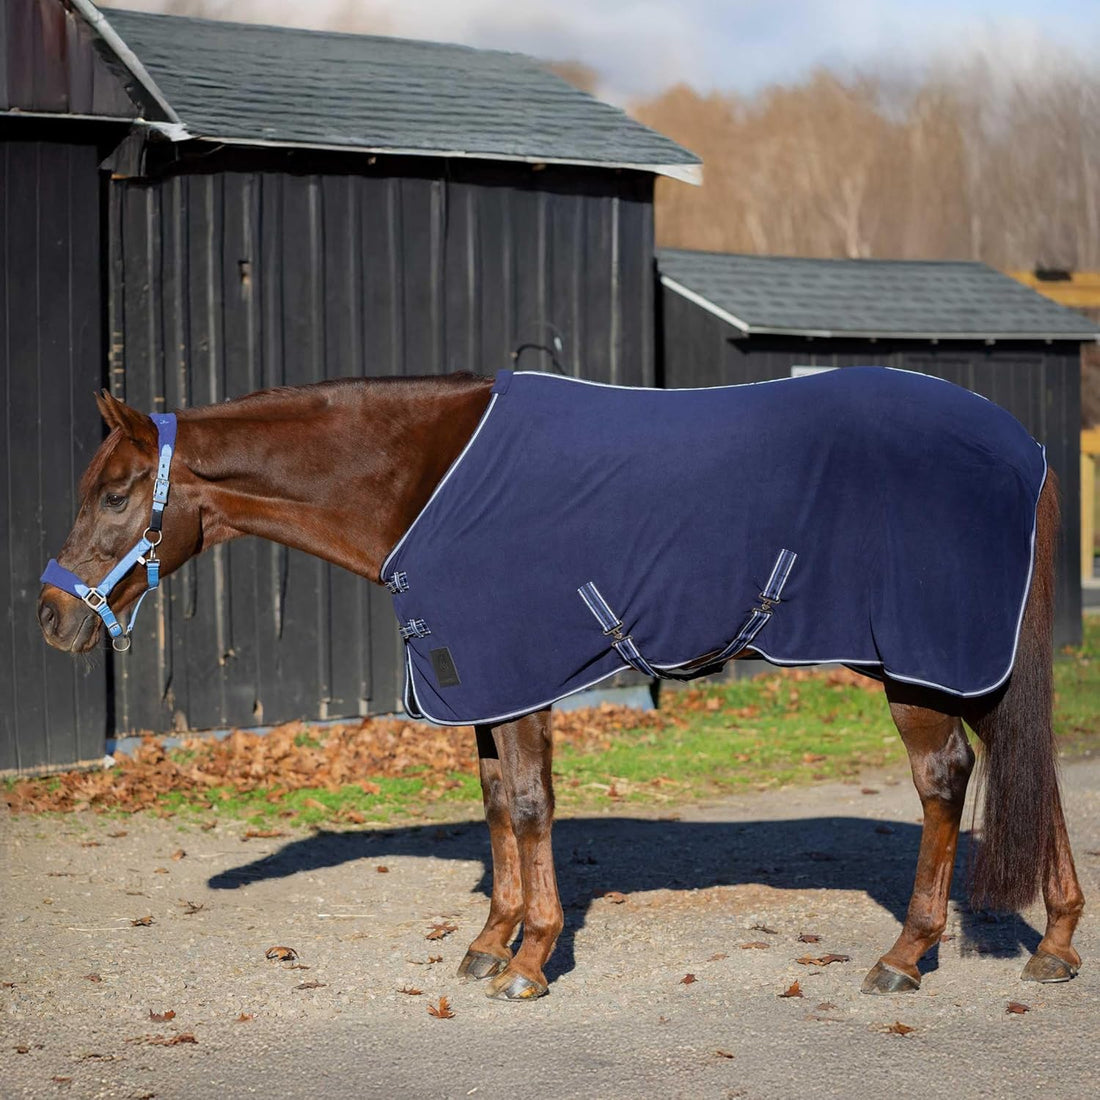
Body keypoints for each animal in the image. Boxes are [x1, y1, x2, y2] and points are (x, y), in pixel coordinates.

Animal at [37, 372, 1084, 1001]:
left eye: (118, 494)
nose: (50, 617)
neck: (425, 477)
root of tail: (1026, 449)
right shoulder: (475, 684)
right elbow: (498, 803)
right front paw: (489, 942)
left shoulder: (521, 675)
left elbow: (535, 806)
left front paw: (532, 959)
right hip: (971, 662)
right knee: (1030, 769)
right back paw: (1057, 943)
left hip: (924, 662)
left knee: (947, 780)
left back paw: (907, 955)